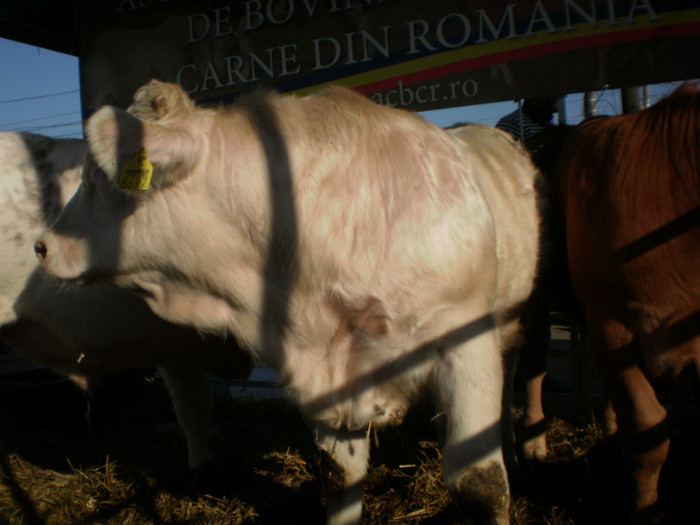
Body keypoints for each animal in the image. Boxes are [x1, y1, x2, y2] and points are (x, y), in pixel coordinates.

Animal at [35, 82, 540, 524]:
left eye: (98, 177)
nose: (42, 246)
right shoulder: (325, 373)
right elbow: (340, 479)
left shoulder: (465, 338)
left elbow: (479, 484)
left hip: (518, 316)